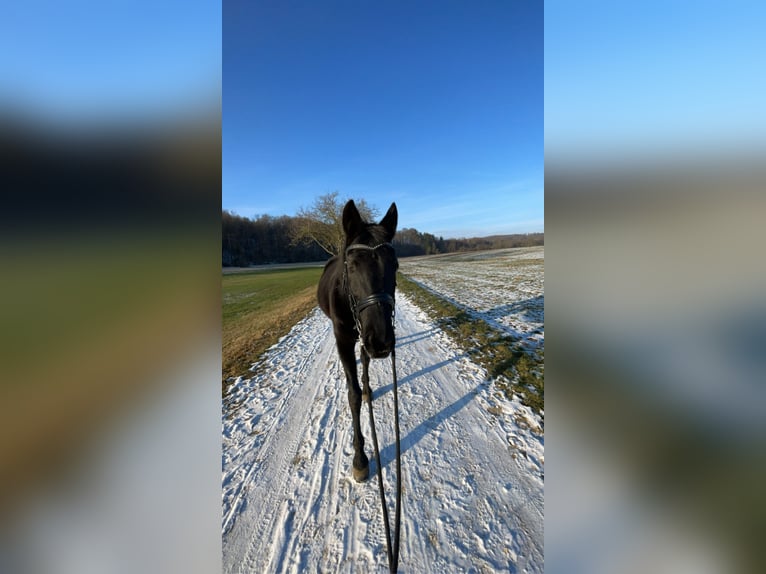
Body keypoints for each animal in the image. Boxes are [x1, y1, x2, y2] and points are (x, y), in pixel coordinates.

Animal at [320, 200, 402, 484]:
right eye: (353, 265)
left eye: (395, 265)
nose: (381, 340)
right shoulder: (343, 339)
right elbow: (352, 395)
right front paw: (360, 458)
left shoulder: (364, 339)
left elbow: (364, 367)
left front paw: (366, 387)